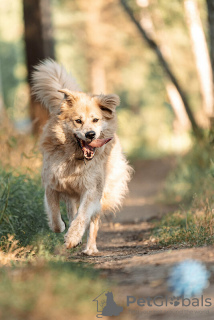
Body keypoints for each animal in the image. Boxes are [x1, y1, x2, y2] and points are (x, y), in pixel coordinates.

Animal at [31, 60, 132, 255]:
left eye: (95, 120)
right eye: (78, 121)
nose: (90, 134)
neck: (74, 158)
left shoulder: (92, 190)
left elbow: (83, 216)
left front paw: (72, 238)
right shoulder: (52, 185)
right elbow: (55, 217)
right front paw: (63, 228)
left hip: (104, 192)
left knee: (92, 222)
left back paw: (90, 248)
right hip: (70, 193)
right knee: (71, 210)